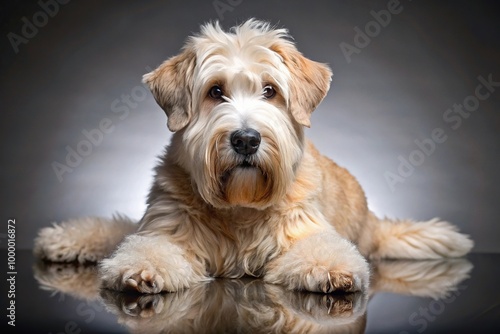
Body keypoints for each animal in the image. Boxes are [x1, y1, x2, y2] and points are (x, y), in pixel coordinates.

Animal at [34, 19, 472, 294]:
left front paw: (332, 271)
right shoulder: (164, 229)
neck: (239, 208)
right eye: (215, 91)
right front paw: (140, 269)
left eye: (270, 91)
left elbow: (320, 250)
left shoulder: (304, 229)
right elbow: (146, 247)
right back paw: (64, 240)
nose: (246, 140)